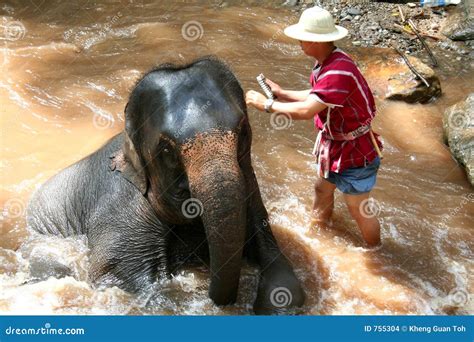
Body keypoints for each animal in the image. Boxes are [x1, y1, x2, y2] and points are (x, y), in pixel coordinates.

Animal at [27, 56, 306, 316]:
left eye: (244, 132)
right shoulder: (120, 216)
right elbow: (118, 282)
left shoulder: (251, 190)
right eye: (167, 151)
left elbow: (283, 273)